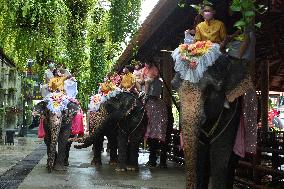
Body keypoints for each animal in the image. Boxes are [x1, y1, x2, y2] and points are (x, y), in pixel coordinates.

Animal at [172, 54, 254, 188]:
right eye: (173, 86)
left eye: (209, 88)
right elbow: (200, 159)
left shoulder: (232, 114)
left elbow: (220, 158)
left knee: (231, 164)